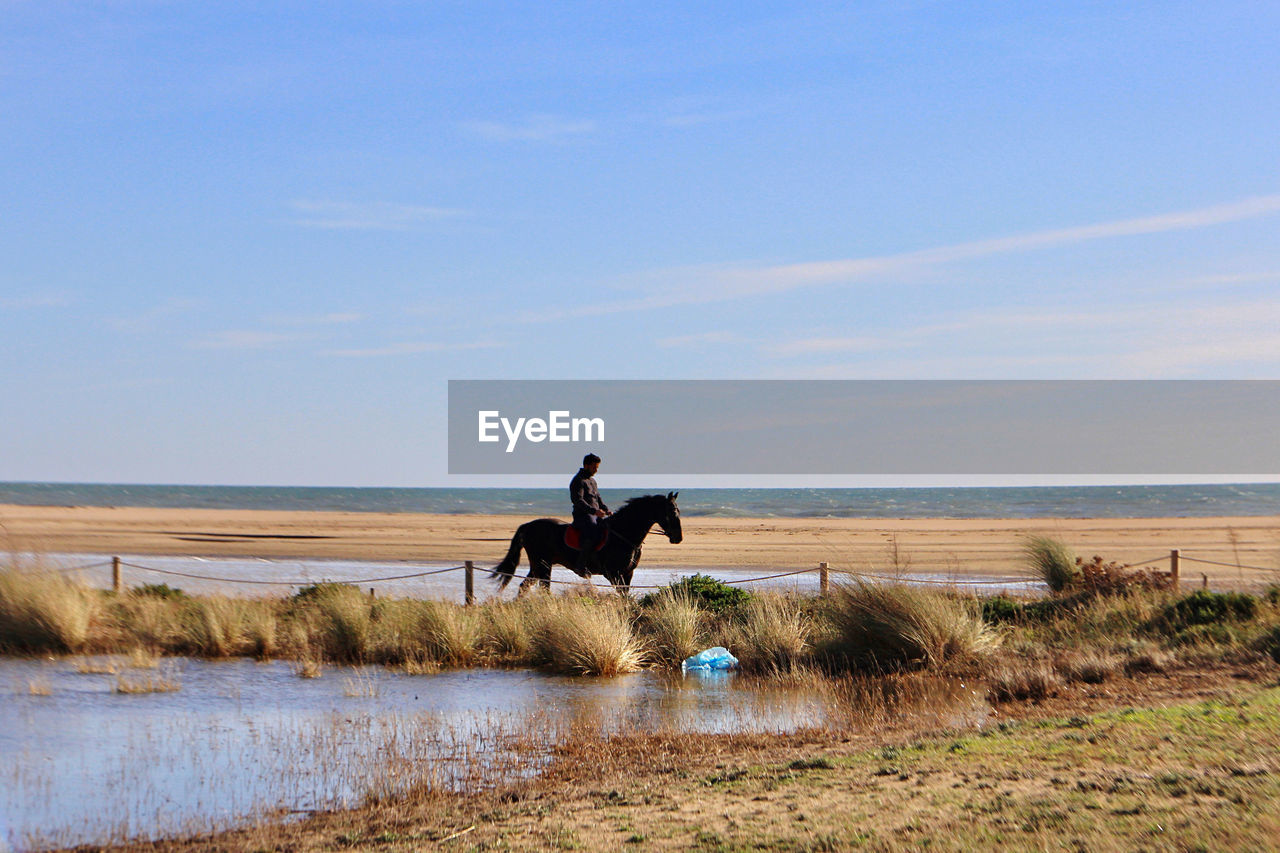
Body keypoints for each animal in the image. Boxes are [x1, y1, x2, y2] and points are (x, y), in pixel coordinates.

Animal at [489, 492, 682, 595]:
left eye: (678, 511)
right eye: (671, 511)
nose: (678, 537)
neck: (623, 533)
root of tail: (527, 525)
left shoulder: (628, 573)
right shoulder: (614, 574)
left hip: (538, 565)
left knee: (525, 586)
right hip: (543, 564)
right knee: (542, 588)